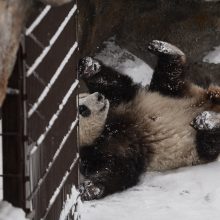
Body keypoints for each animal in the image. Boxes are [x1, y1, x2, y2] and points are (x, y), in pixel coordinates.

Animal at [79, 40, 220, 201]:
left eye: (83, 96)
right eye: (82, 109)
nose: (99, 97)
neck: (106, 127)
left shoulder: (123, 102)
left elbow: (119, 86)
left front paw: (88, 66)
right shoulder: (99, 150)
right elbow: (119, 168)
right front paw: (90, 188)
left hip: (170, 94)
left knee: (169, 79)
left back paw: (164, 49)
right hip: (196, 149)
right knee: (208, 144)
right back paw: (208, 121)